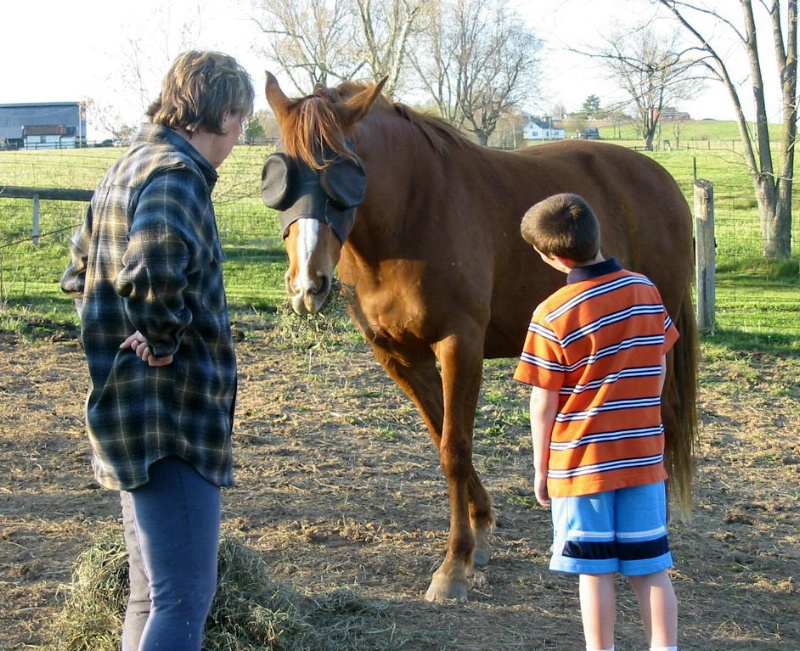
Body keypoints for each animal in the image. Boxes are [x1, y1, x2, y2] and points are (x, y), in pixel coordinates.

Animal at [260, 74, 696, 604]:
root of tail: (661, 179)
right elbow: (442, 437)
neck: (413, 214)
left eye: (344, 172)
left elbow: (455, 449)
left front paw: (454, 566)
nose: (309, 284)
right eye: (280, 175)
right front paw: (482, 530)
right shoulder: (400, 356)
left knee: (663, 419)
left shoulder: (459, 345)